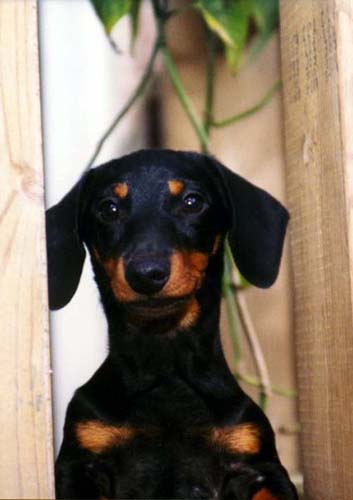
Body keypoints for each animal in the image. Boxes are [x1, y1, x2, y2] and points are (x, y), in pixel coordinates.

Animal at [46, 149, 294, 500]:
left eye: (192, 201)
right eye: (108, 208)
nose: (146, 274)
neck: (167, 372)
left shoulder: (261, 465)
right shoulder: (79, 461)